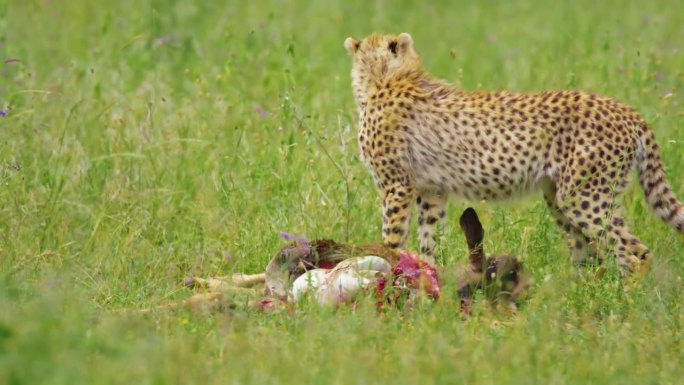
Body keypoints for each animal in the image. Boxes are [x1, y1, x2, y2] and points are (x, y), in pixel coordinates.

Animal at [344, 31, 680, 274]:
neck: (384, 78)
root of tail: (628, 111)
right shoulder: (432, 191)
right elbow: (428, 241)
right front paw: (428, 284)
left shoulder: (396, 186)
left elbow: (392, 238)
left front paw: (391, 279)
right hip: (559, 196)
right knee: (590, 255)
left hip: (584, 196)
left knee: (634, 252)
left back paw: (623, 302)